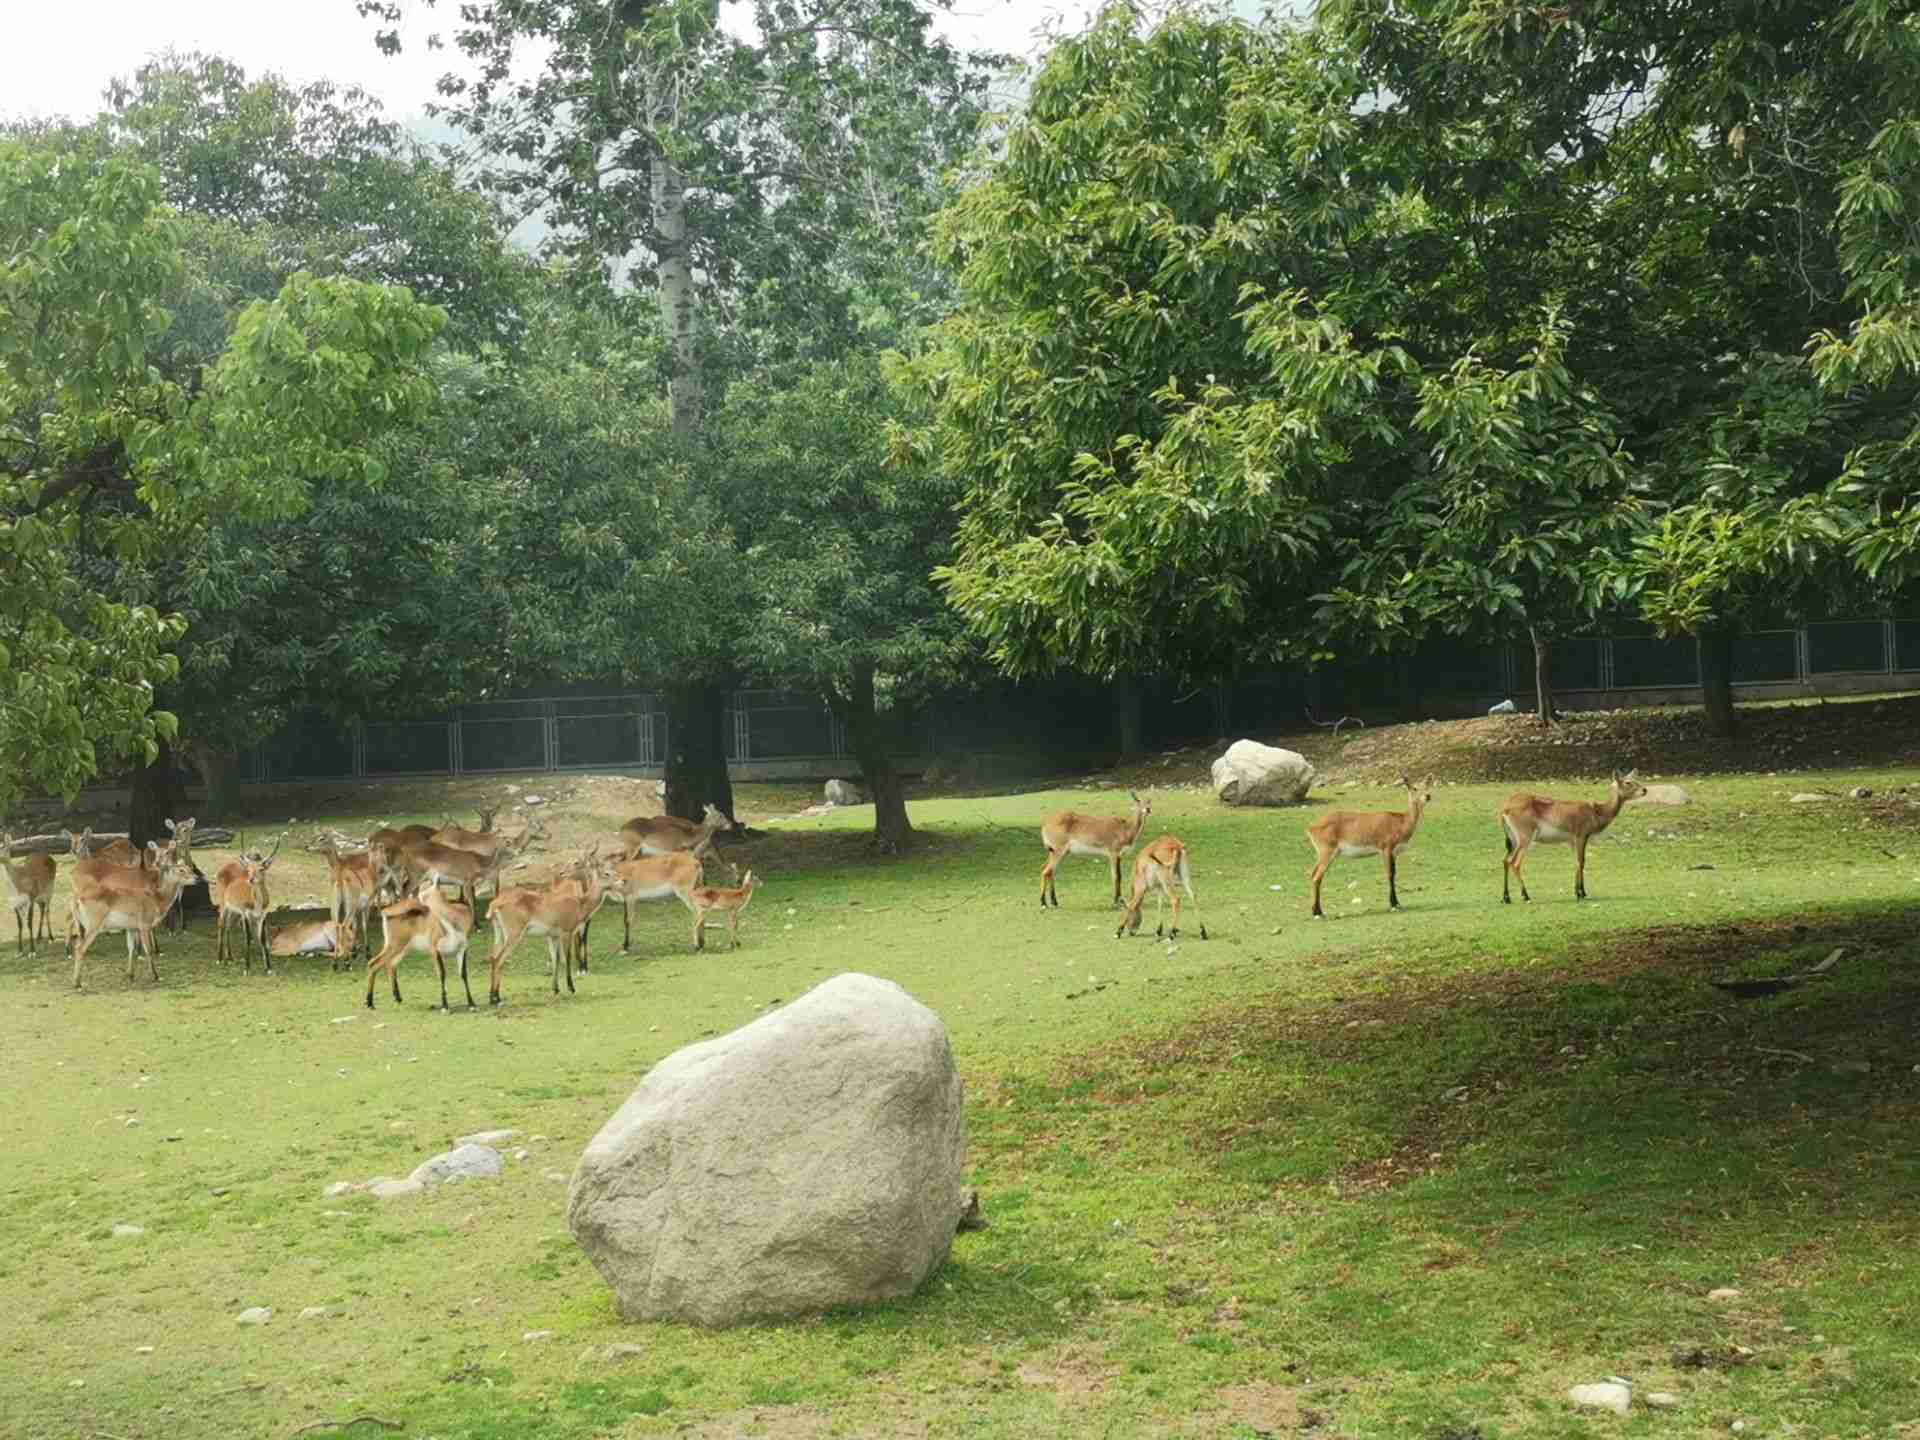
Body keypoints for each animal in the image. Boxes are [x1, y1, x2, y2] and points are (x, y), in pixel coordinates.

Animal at [216, 833, 282, 971]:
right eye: (249, 869)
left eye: (261, 868)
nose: (251, 879)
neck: (257, 903)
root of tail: (226, 865)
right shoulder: (246, 913)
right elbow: (248, 937)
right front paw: (247, 968)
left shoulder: (262, 915)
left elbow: (262, 938)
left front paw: (269, 968)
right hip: (223, 904)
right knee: (221, 924)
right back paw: (219, 959)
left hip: (234, 911)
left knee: (228, 926)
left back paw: (230, 958)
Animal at [362, 879, 476, 1013]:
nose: (415, 906)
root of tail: (386, 912)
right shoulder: (435, 951)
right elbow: (442, 974)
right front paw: (445, 1006)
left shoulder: (462, 949)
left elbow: (463, 974)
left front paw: (472, 1004)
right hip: (395, 946)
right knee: (373, 963)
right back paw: (370, 1003)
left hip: (402, 948)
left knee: (390, 964)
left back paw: (397, 998)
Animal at [1297, 783, 1436, 917]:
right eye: (1415, 788)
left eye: (1427, 785)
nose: (1428, 796)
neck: (1401, 821)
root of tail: (1311, 827)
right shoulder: (1386, 849)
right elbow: (1390, 874)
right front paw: (1394, 904)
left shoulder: (1394, 853)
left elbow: (1394, 873)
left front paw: (1397, 903)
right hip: (1327, 853)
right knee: (1317, 876)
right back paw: (1318, 912)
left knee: (1313, 874)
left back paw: (1316, 911)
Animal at [1497, 768, 1651, 902]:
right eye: (1628, 782)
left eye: (1635, 779)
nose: (1644, 790)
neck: (1597, 811)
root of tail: (1505, 808)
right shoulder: (1581, 836)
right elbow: (1582, 861)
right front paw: (1581, 893)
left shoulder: (1571, 840)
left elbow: (1575, 862)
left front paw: (1577, 892)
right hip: (1525, 839)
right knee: (1515, 863)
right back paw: (1526, 896)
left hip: (1513, 840)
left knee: (1505, 860)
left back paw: (1506, 898)